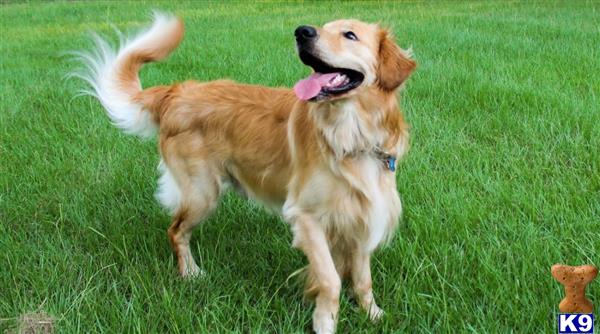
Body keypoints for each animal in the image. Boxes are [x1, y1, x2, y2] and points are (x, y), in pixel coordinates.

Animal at [75, 11, 414, 332]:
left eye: (350, 34)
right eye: (324, 27)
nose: (302, 31)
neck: (352, 137)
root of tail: (178, 92)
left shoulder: (363, 216)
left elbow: (362, 279)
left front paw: (372, 315)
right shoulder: (306, 216)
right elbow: (330, 279)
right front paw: (325, 322)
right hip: (202, 193)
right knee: (176, 230)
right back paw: (190, 273)